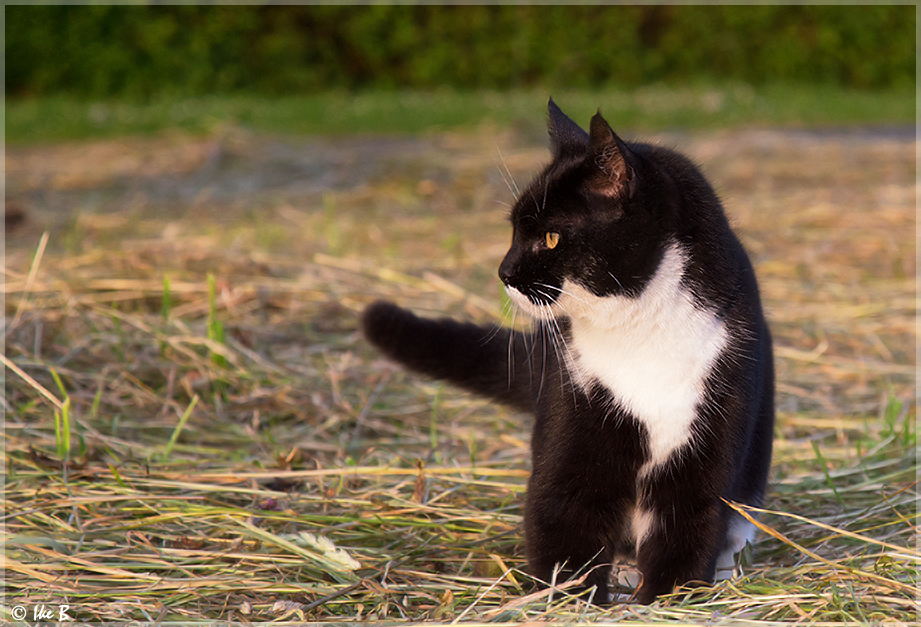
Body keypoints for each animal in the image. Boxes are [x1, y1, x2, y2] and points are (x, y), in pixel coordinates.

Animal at [362, 98, 772, 604]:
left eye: (551, 237)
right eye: (514, 231)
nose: (504, 271)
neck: (638, 335)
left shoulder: (713, 423)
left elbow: (690, 521)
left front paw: (663, 599)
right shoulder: (575, 409)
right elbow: (563, 514)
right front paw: (573, 597)